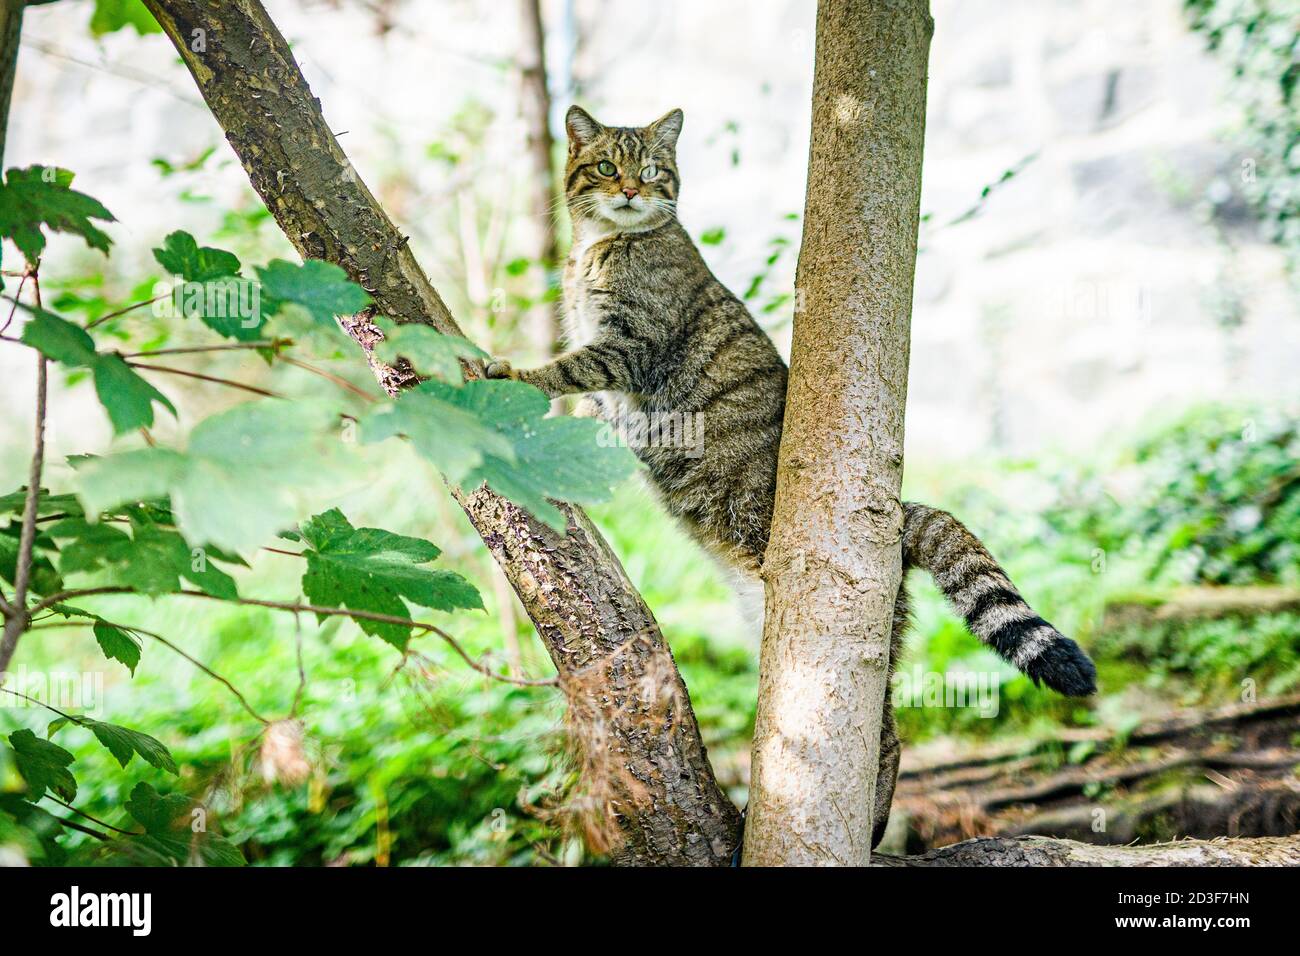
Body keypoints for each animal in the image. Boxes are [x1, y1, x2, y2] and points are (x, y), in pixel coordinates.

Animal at [483, 104, 1092, 842]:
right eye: (606, 166)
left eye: (652, 170)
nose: (630, 189)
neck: (601, 245)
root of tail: (900, 510)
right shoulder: (610, 378)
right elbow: (583, 401)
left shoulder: (629, 344)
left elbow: (566, 367)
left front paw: (513, 373)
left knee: (887, 738)